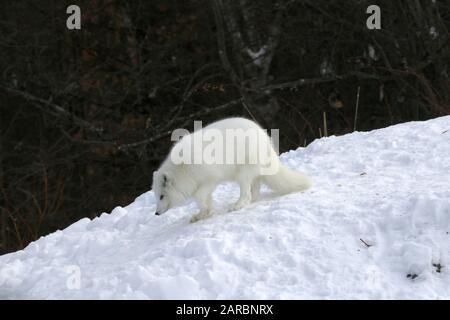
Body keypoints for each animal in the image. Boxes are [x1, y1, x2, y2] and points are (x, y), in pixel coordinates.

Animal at [153, 117, 312, 222]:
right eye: (157, 197)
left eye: (161, 196)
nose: (156, 214)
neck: (183, 169)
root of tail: (266, 139)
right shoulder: (205, 183)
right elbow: (205, 200)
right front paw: (203, 214)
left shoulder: (211, 179)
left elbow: (199, 197)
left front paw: (206, 211)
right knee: (254, 191)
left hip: (243, 174)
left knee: (246, 193)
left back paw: (238, 205)